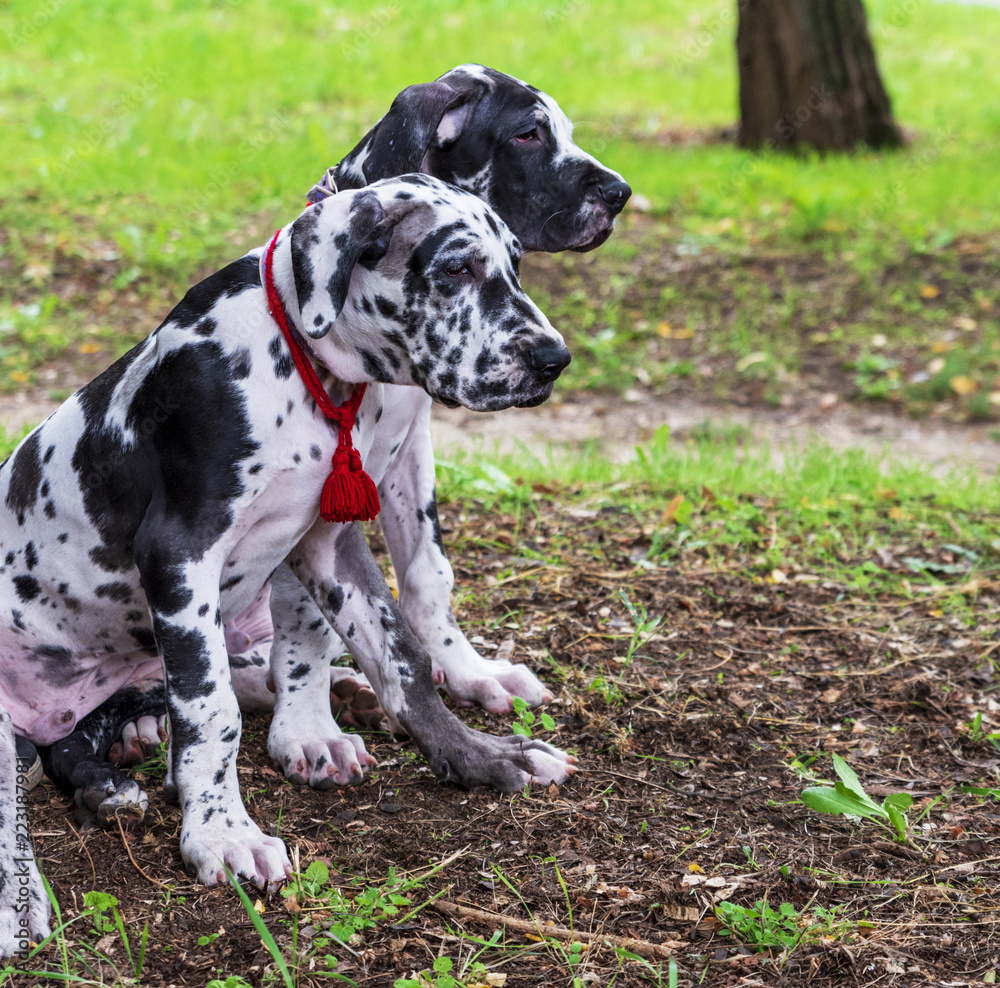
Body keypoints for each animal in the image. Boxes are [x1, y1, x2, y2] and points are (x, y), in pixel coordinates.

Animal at [0, 178, 580, 956]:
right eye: (457, 268)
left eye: (517, 264)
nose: (554, 359)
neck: (296, 365)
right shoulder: (180, 554)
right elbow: (210, 712)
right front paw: (221, 837)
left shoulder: (328, 540)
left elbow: (400, 660)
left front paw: (482, 757)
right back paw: (29, 886)